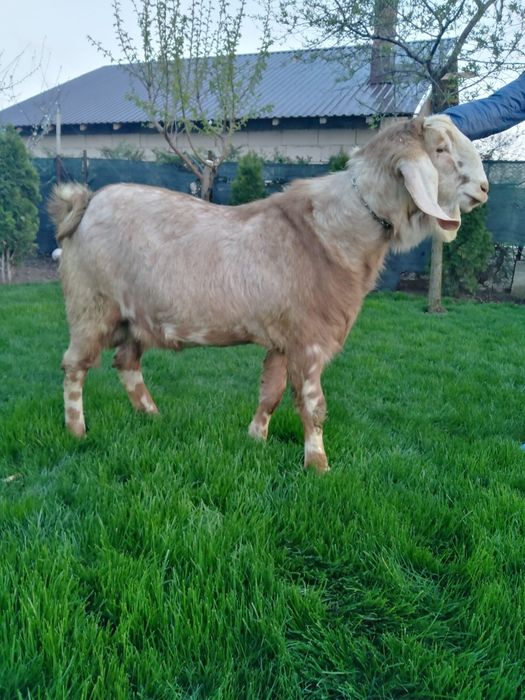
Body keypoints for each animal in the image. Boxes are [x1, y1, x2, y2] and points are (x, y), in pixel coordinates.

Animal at [48, 115, 488, 472]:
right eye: (441, 149)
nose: (483, 188)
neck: (333, 232)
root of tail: (83, 203)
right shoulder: (309, 341)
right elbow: (312, 406)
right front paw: (318, 466)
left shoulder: (283, 339)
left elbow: (271, 393)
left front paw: (256, 438)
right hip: (91, 304)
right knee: (74, 366)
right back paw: (77, 431)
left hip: (133, 316)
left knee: (126, 362)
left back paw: (153, 416)